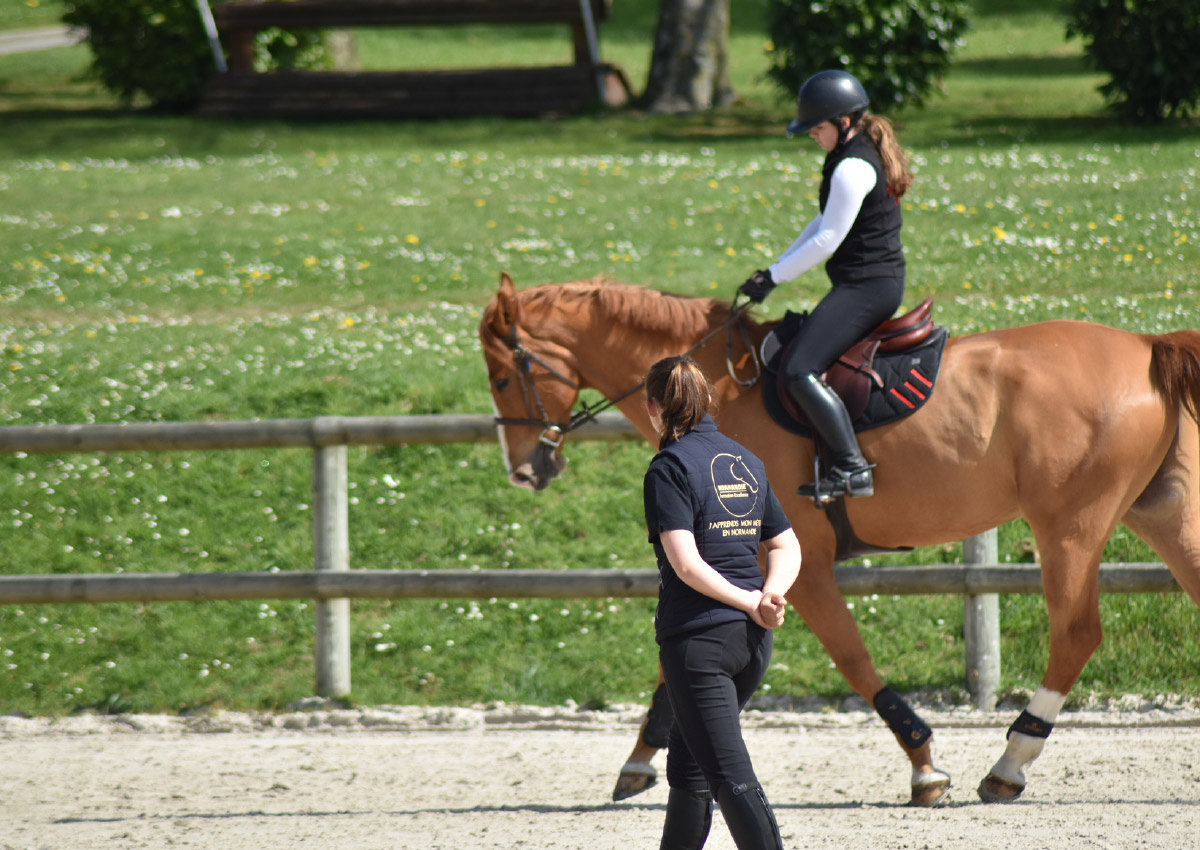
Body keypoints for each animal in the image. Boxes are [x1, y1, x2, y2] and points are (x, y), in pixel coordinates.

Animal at [477, 272, 1200, 801]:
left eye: (502, 376)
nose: (523, 470)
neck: (716, 391)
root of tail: (1146, 344)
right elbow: (672, 659)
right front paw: (639, 759)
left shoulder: (799, 568)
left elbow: (851, 658)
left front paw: (923, 763)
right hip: (1159, 510)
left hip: (1068, 525)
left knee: (1075, 633)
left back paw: (1010, 763)